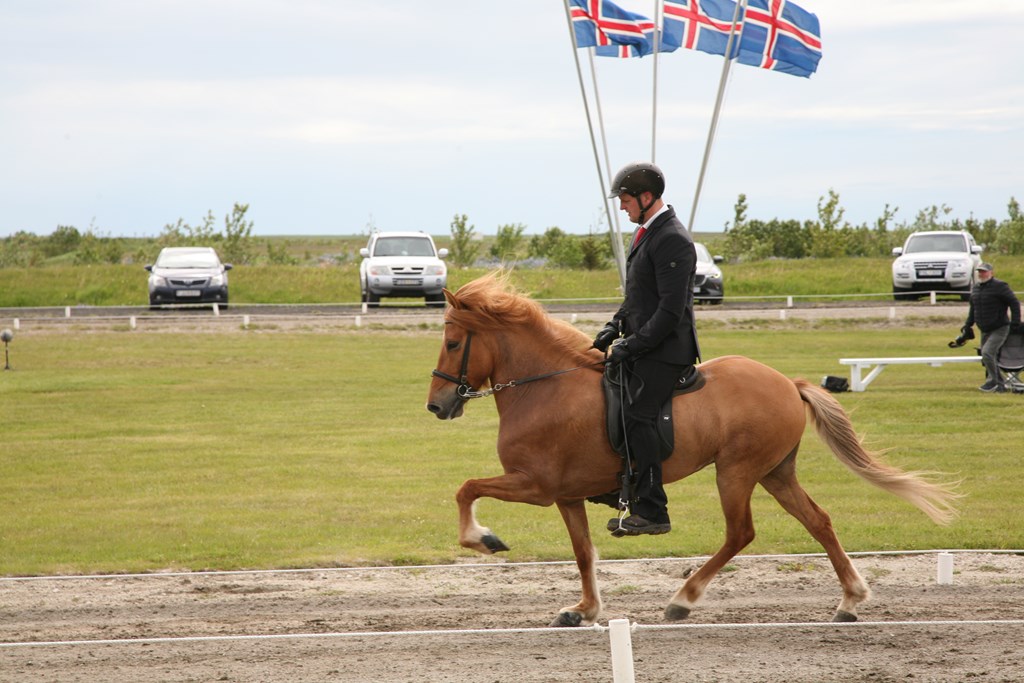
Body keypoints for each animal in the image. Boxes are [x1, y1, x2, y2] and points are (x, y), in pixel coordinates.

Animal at [425, 273, 961, 627]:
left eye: (452, 343)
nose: (436, 406)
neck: (545, 387)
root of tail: (787, 383)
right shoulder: (566, 495)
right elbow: (583, 553)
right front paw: (585, 610)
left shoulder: (534, 485)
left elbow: (464, 488)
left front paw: (482, 539)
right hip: (775, 473)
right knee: (819, 522)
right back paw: (849, 601)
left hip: (736, 471)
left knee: (741, 533)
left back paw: (684, 598)